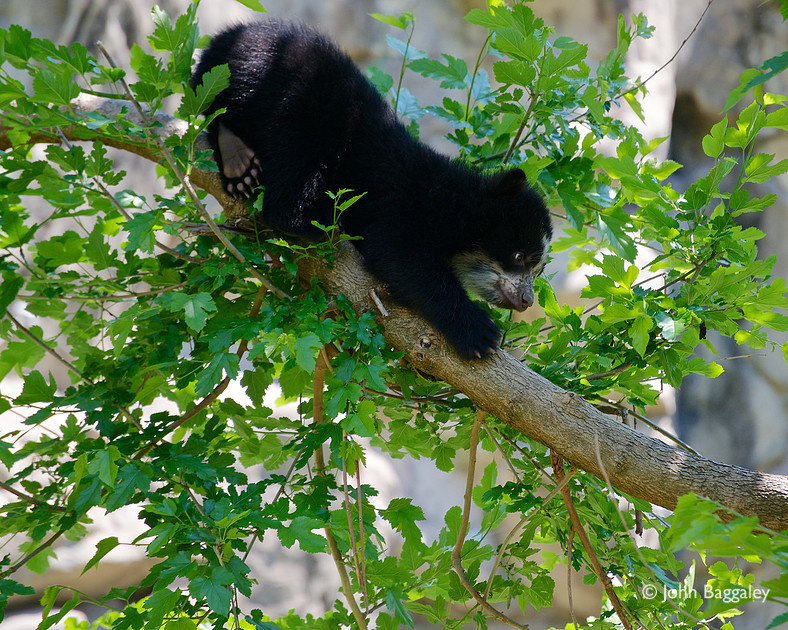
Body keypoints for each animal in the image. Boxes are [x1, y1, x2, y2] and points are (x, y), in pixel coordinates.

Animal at [191, 20, 552, 360]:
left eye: (537, 269)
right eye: (519, 256)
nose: (526, 299)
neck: (457, 206)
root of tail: (223, 41)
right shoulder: (411, 205)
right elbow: (398, 253)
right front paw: (480, 333)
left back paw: (240, 169)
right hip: (298, 93)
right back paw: (299, 211)